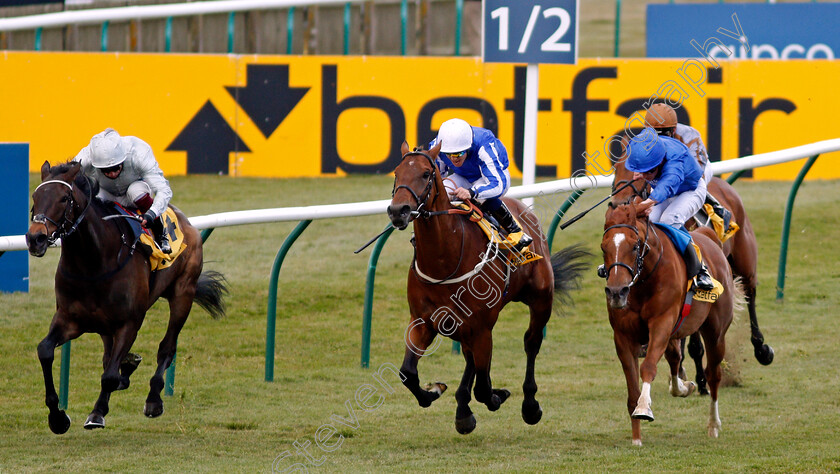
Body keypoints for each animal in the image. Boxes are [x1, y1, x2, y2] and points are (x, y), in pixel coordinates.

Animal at [25, 161, 228, 436]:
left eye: (64, 198)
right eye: (35, 197)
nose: (35, 238)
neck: (92, 263)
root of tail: (185, 220)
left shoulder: (129, 322)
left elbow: (109, 375)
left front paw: (97, 413)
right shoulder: (69, 319)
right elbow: (45, 350)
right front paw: (57, 417)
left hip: (182, 294)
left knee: (166, 347)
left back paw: (153, 399)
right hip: (105, 326)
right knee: (109, 356)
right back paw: (129, 365)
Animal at [388, 140, 592, 434]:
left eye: (426, 174)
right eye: (396, 172)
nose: (398, 211)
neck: (445, 260)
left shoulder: (482, 328)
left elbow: (484, 389)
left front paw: (499, 396)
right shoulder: (423, 321)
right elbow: (408, 373)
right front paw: (436, 392)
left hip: (541, 300)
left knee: (531, 343)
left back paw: (529, 406)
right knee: (470, 358)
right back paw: (463, 407)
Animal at [604, 202, 736, 446]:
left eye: (635, 246)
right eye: (603, 247)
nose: (617, 292)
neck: (644, 281)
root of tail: (708, 235)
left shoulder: (661, 324)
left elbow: (648, 367)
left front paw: (644, 408)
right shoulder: (623, 336)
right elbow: (632, 388)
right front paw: (636, 437)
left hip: (716, 333)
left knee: (713, 375)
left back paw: (713, 424)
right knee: (675, 358)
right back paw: (683, 387)